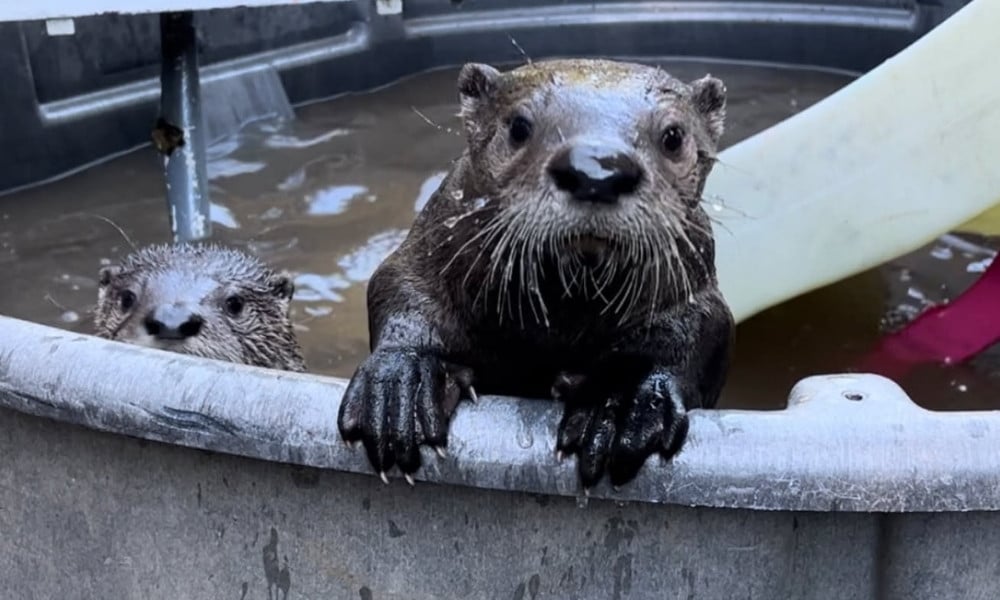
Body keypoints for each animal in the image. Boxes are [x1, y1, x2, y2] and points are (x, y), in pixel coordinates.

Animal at [338, 56, 736, 490]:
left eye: (673, 136)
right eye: (518, 126)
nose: (597, 171)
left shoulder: (695, 282)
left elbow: (702, 324)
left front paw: (620, 399)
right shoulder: (428, 247)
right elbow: (396, 285)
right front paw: (401, 383)